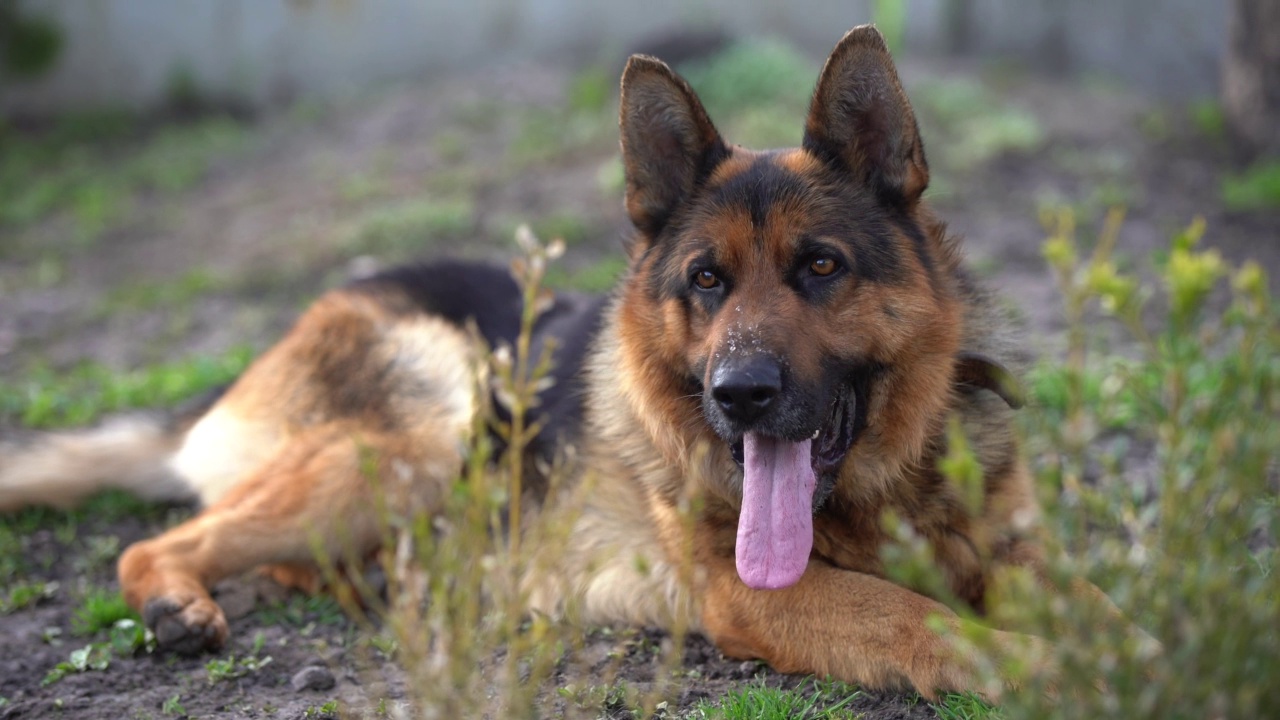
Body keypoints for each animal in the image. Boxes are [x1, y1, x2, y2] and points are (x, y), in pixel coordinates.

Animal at [0, 26, 1116, 696]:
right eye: (705, 281)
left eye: (820, 267)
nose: (739, 396)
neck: (886, 487)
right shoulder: (758, 593)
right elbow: (925, 620)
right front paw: (1051, 668)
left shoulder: (1014, 551)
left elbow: (1093, 599)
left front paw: (1137, 640)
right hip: (427, 426)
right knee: (162, 541)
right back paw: (176, 600)